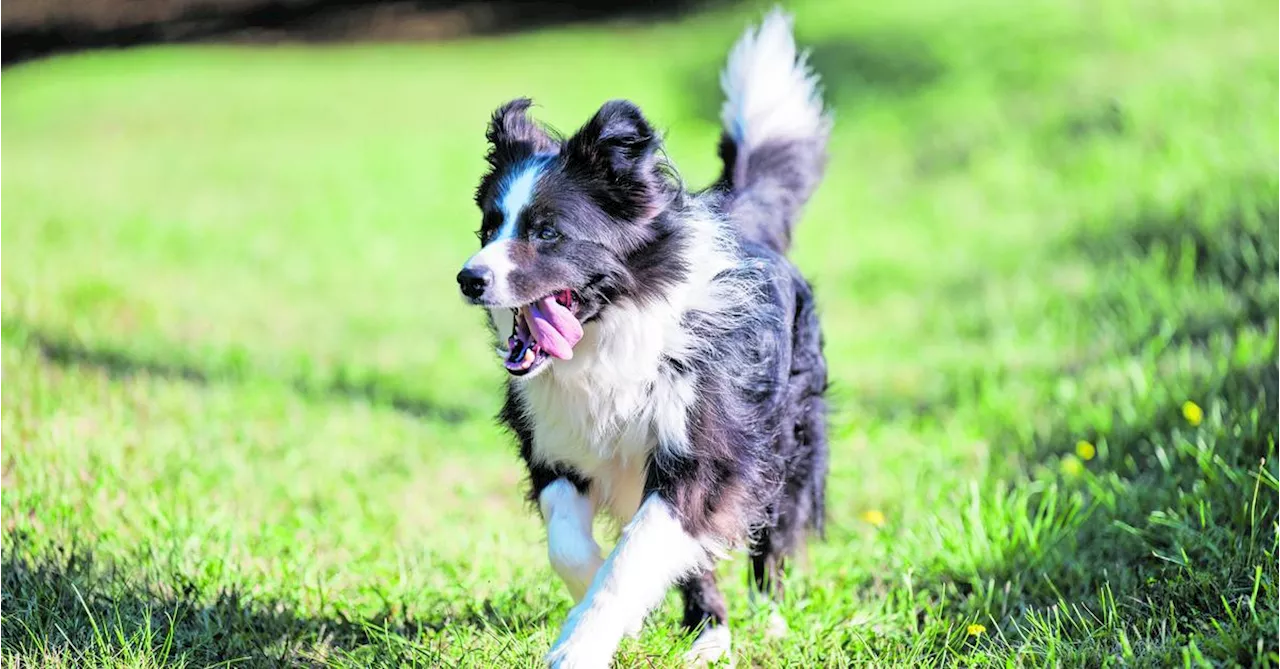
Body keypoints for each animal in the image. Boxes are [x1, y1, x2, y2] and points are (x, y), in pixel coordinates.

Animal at [455, 10, 834, 669]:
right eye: (488, 228)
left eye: (547, 232)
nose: (470, 279)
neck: (610, 332)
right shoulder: (554, 441)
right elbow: (572, 545)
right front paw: (621, 618)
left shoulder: (706, 449)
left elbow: (636, 558)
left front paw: (579, 645)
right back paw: (708, 633)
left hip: (788, 434)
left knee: (774, 533)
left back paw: (763, 624)